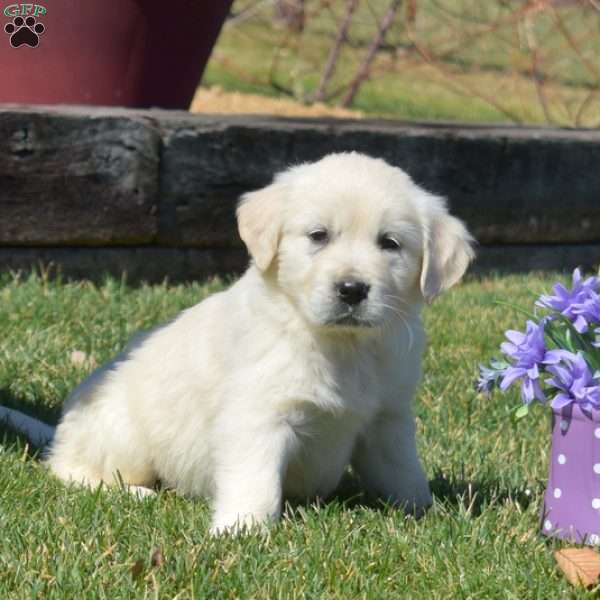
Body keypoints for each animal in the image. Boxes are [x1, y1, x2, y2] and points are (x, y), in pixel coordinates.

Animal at [0, 152, 474, 532]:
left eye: (390, 243)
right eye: (318, 236)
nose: (352, 289)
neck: (341, 344)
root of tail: (62, 428)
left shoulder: (387, 419)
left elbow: (403, 472)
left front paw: (427, 514)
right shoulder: (259, 415)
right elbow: (255, 478)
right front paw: (241, 531)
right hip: (121, 433)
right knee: (68, 469)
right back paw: (136, 493)